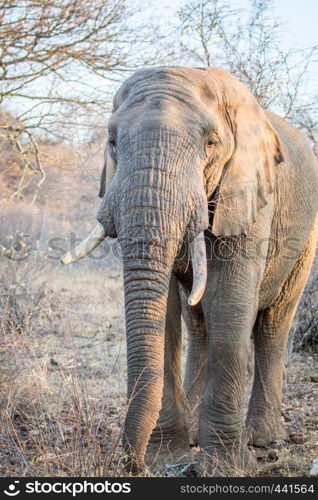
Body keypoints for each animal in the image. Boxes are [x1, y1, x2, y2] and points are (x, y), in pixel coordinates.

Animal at [60, 67, 318, 476]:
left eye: (211, 144)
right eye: (112, 141)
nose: (131, 465)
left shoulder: (249, 194)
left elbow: (229, 304)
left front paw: (227, 467)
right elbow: (166, 311)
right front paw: (166, 457)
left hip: (305, 238)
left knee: (273, 324)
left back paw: (263, 439)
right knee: (198, 323)